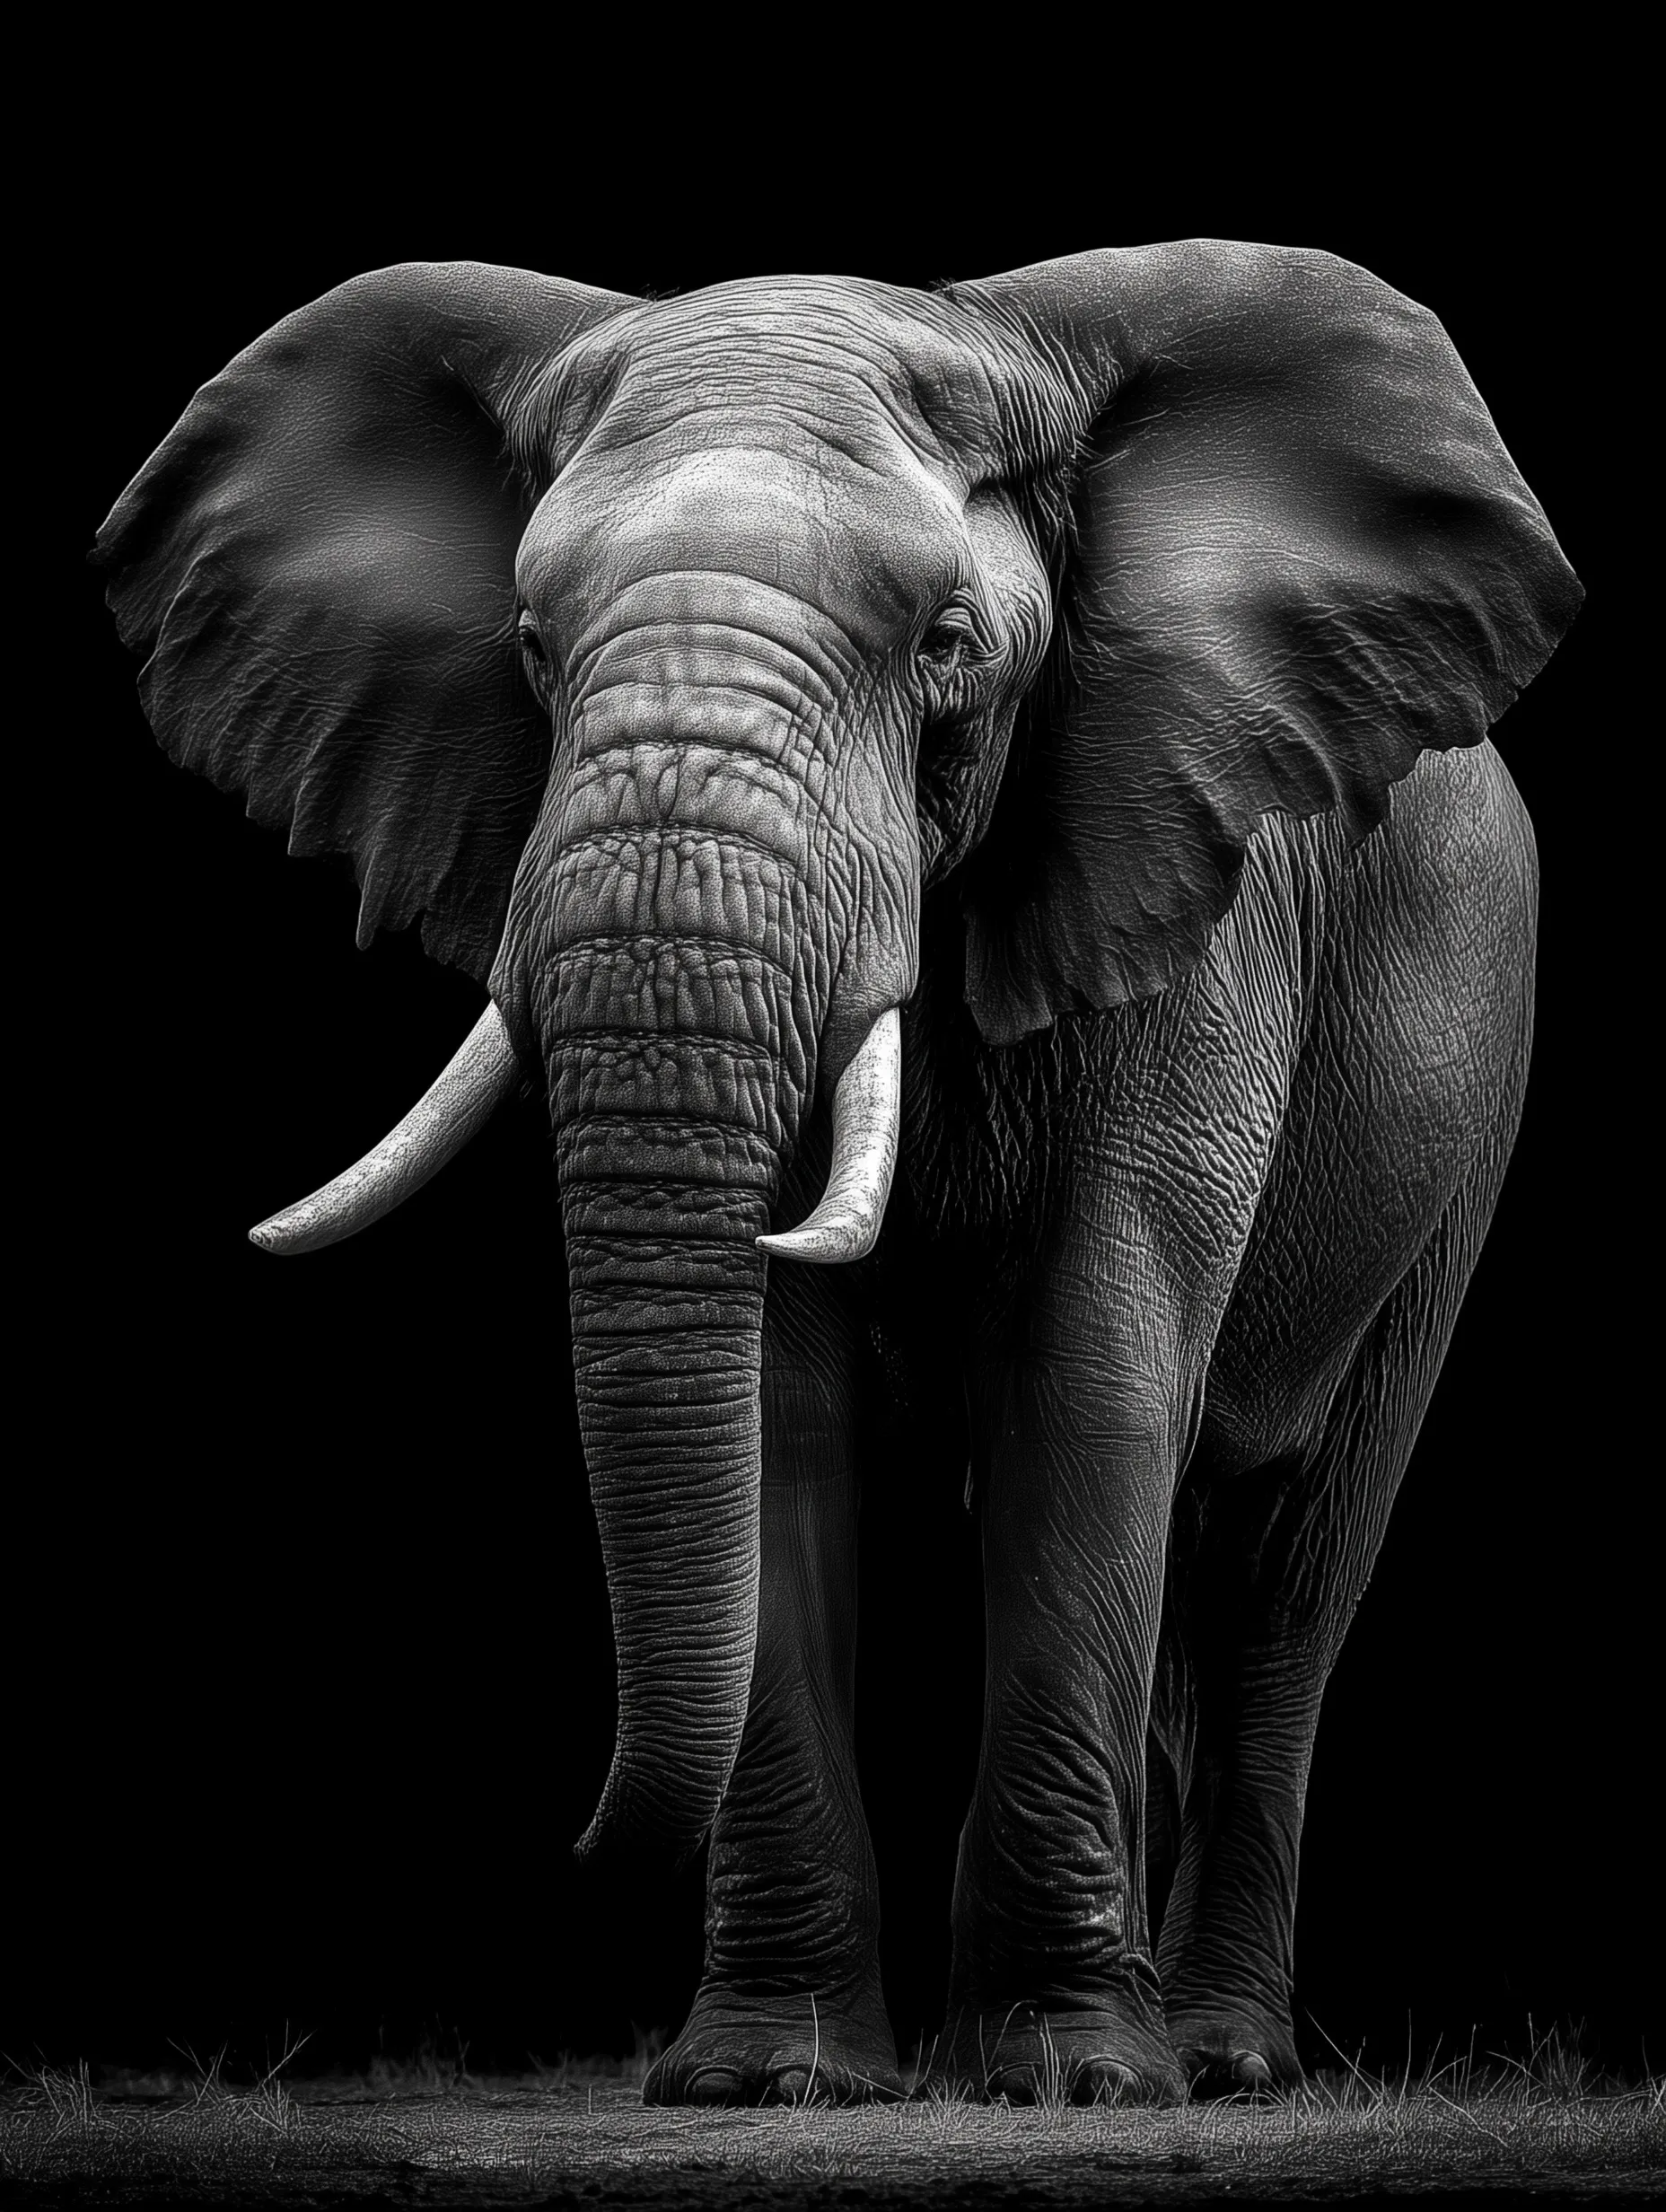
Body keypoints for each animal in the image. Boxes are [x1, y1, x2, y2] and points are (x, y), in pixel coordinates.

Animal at [96, 240, 1579, 2107]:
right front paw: (768, 2078)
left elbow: (1090, 1367)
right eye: (530, 644)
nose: (567, 1842)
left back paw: (1222, 2054)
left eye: (945, 645)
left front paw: (1069, 2080)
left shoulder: (1189, 882)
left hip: (1465, 1097)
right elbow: (780, 1405)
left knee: (1285, 1567)